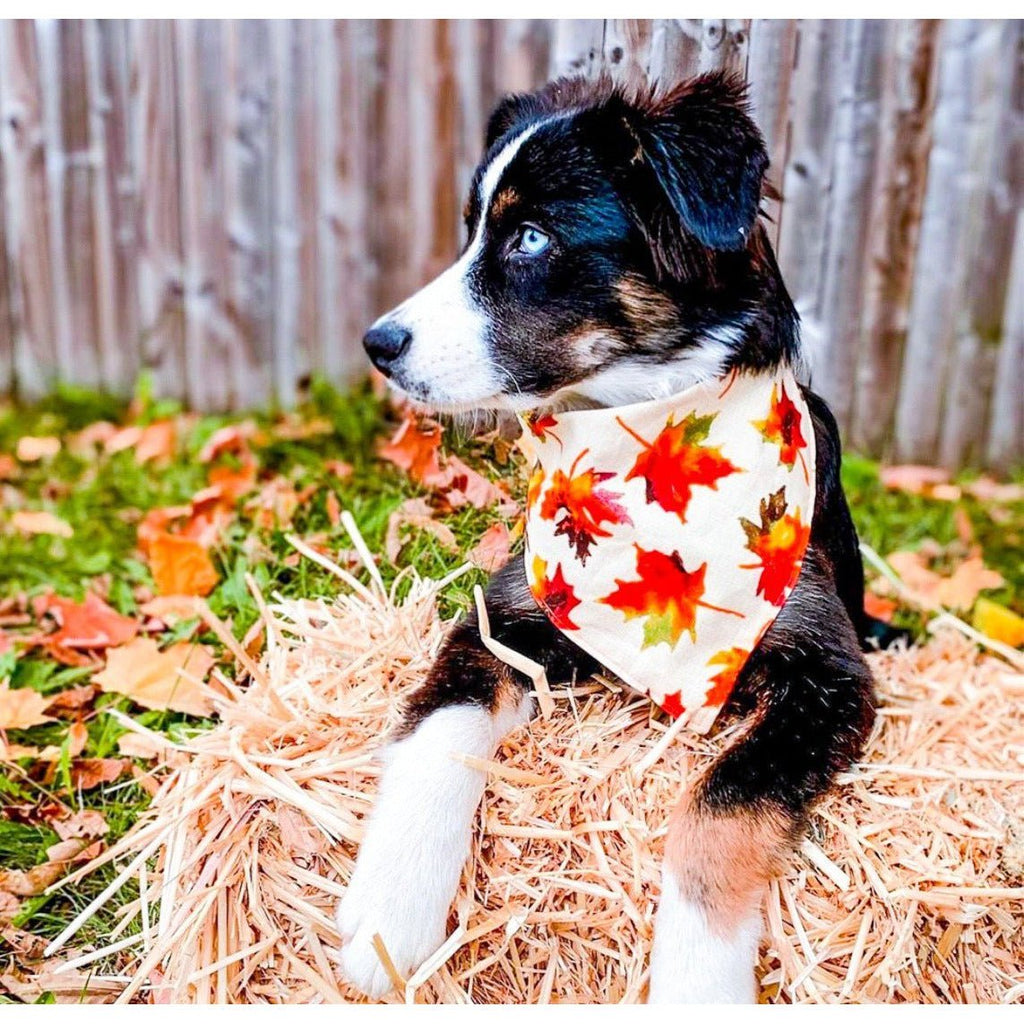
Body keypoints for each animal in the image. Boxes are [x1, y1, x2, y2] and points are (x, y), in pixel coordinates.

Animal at [333, 74, 897, 1007]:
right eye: (472, 229)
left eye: (530, 237)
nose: (377, 345)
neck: (646, 451)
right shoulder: (510, 611)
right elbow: (441, 724)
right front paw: (390, 909)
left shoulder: (831, 676)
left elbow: (721, 802)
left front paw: (698, 984)